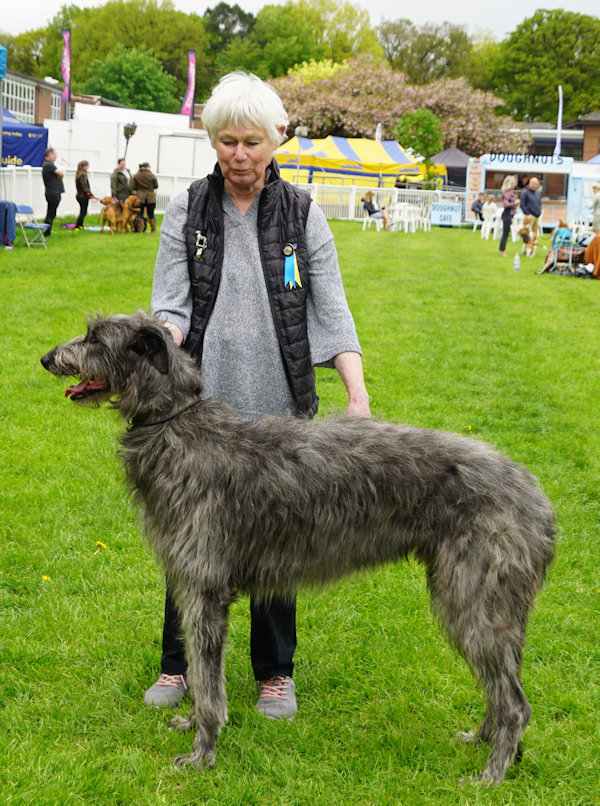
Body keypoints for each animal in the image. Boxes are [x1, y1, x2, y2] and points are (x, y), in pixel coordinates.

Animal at [42, 312, 556, 784]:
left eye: (94, 337)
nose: (47, 358)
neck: (178, 426)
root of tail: (537, 498)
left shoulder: (205, 590)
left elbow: (208, 684)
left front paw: (202, 753)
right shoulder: (191, 585)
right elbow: (201, 676)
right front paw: (191, 723)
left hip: (475, 599)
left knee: (515, 703)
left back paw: (490, 775)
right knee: (502, 691)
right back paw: (483, 742)